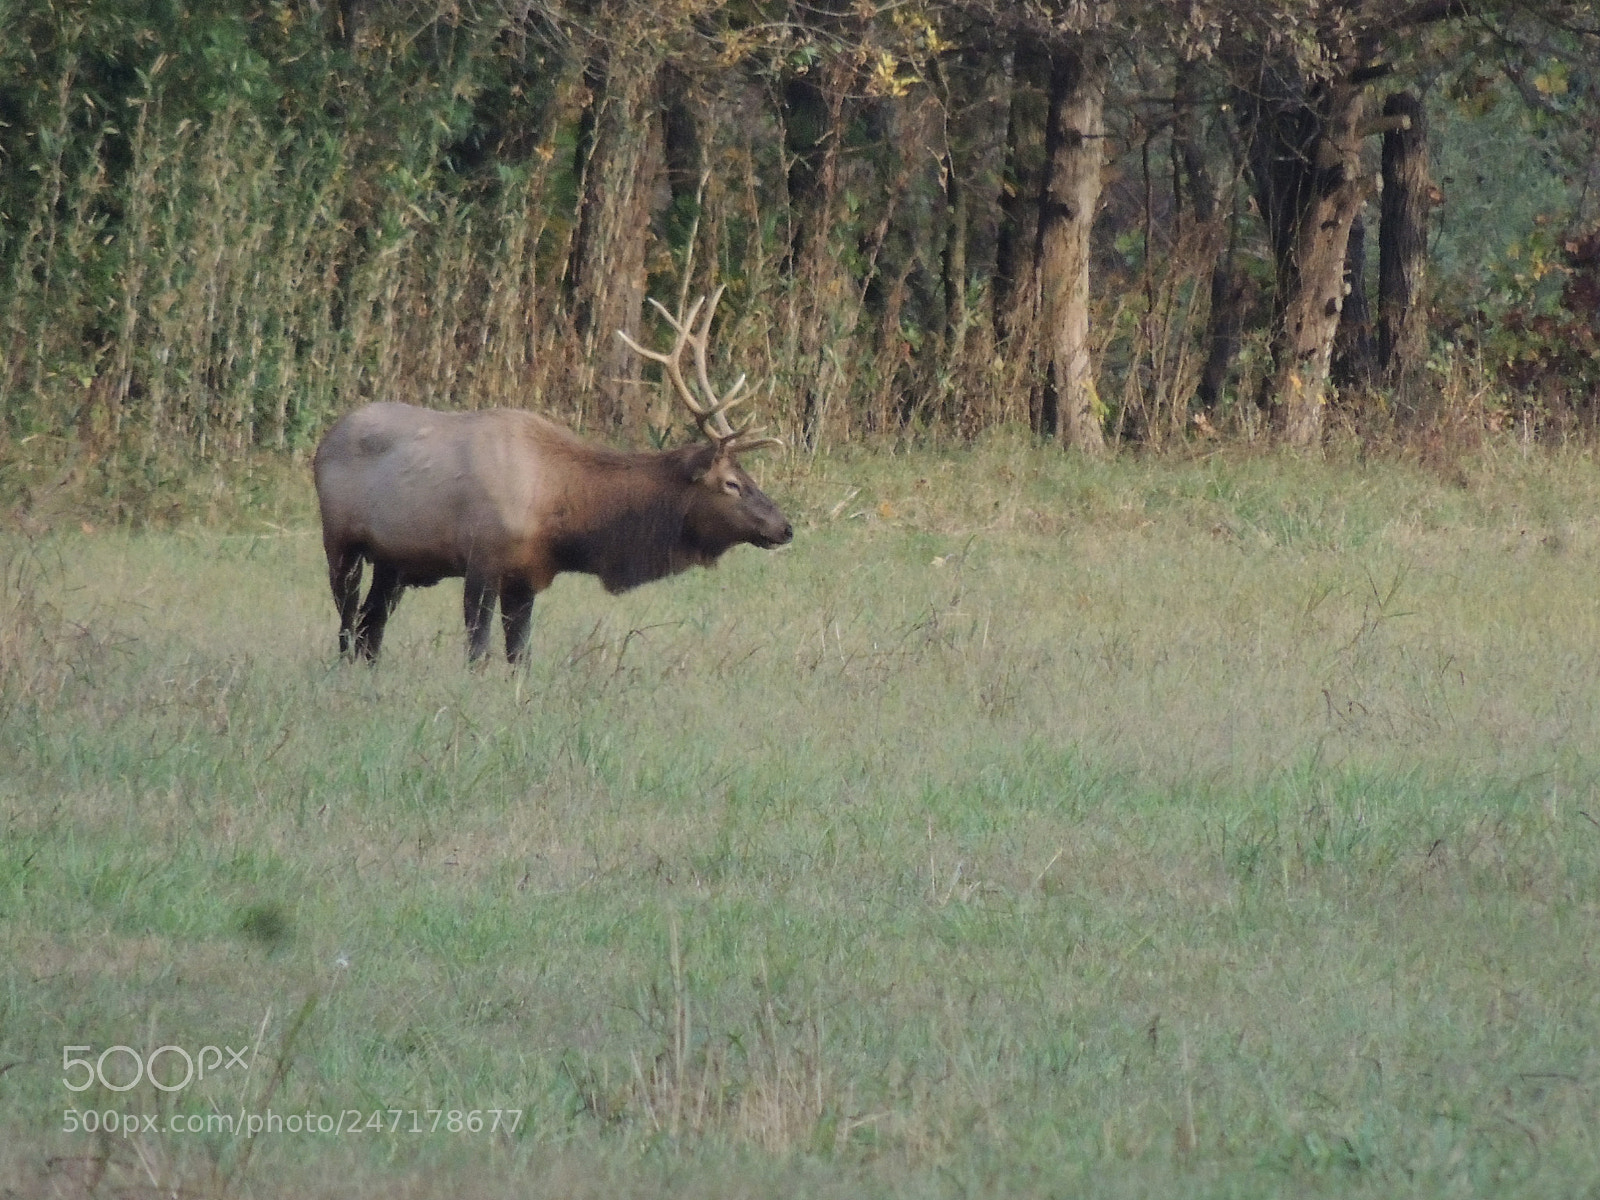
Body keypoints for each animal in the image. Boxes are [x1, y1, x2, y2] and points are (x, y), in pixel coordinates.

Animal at [312, 288, 792, 664]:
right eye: (732, 483)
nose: (785, 526)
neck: (562, 514)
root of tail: (323, 442)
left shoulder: (526, 576)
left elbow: (519, 656)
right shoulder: (482, 559)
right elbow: (478, 652)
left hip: (392, 561)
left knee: (370, 627)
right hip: (340, 543)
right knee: (347, 625)